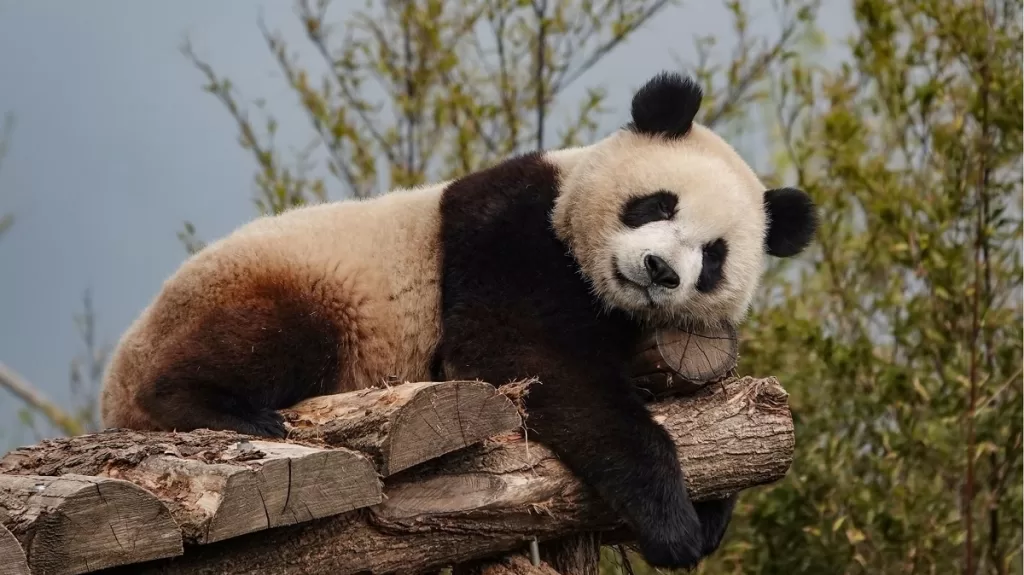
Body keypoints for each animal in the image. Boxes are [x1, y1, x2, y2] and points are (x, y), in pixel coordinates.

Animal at [100, 71, 816, 569]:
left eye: (714, 255)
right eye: (657, 204)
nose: (661, 270)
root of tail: (112, 391)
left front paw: (712, 506)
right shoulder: (510, 227)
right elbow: (520, 354)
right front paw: (673, 521)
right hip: (286, 286)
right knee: (267, 337)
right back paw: (224, 410)